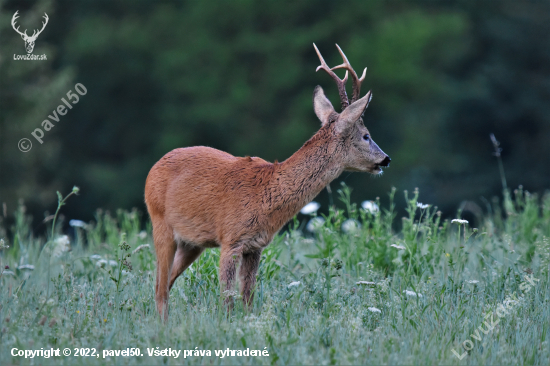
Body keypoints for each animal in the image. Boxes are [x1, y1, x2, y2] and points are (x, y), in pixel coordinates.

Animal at [144, 43, 390, 318]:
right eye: (366, 135)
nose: (386, 159)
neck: (266, 195)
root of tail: (154, 167)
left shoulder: (255, 246)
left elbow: (248, 297)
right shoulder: (230, 238)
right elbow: (227, 298)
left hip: (192, 242)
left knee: (164, 282)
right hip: (160, 222)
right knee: (160, 287)